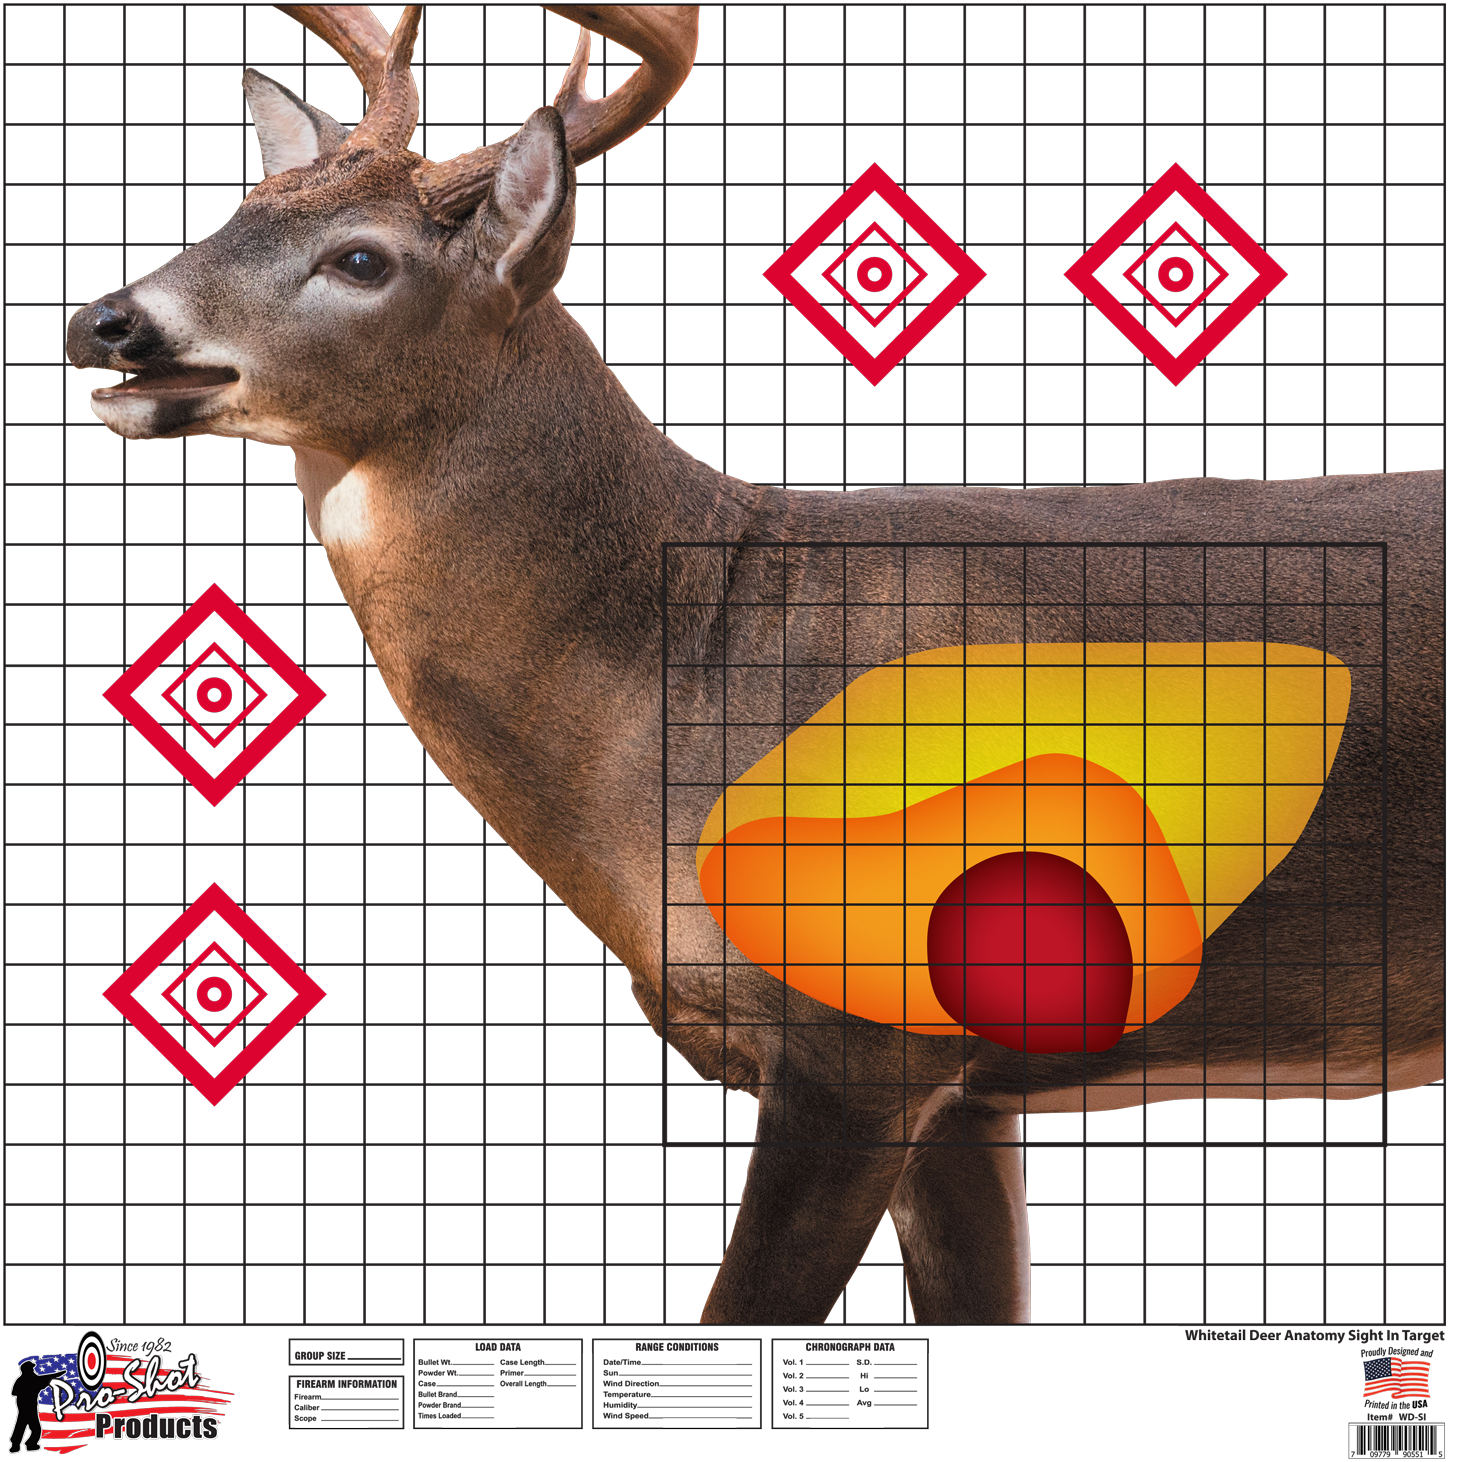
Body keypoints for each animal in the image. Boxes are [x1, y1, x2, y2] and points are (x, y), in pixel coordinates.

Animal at [66, 3, 1442, 1325]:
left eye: (362, 258)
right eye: (241, 208)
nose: (105, 321)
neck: (683, 679)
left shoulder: (860, 1042)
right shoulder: (965, 1089)